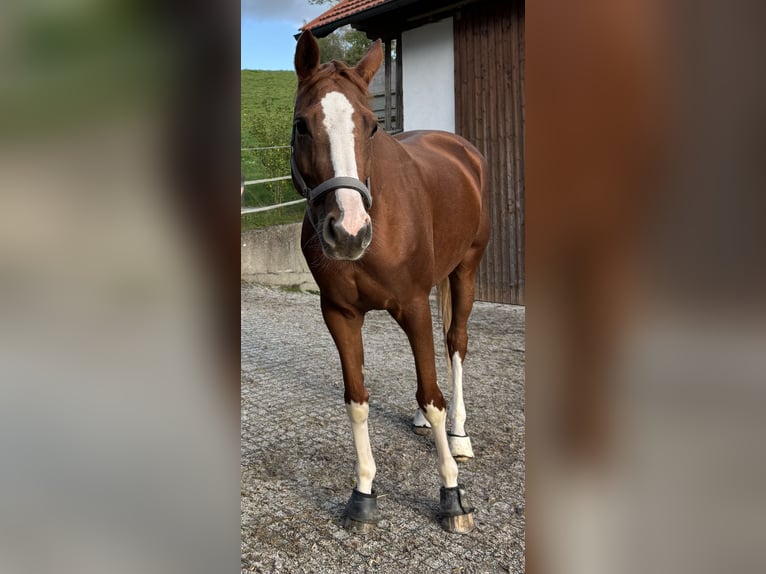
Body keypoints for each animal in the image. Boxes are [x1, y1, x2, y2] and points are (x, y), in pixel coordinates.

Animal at [294, 31, 492, 536]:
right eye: (302, 125)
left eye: (371, 127)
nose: (348, 232)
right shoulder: (339, 314)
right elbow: (358, 399)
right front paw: (363, 493)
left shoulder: (414, 304)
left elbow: (434, 393)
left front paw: (452, 494)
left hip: (465, 270)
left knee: (455, 345)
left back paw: (459, 435)